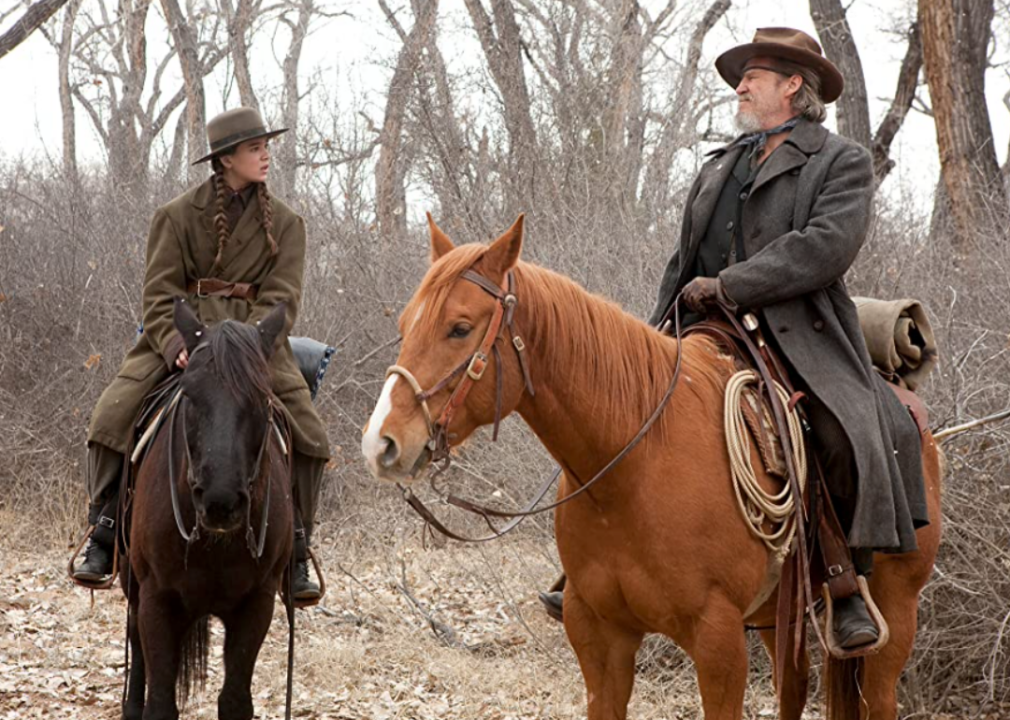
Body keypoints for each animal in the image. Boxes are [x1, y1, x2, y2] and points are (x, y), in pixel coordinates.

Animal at [122, 298, 294, 718]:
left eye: (262, 397)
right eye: (189, 393)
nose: (220, 502)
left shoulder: (256, 604)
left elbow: (234, 700)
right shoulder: (156, 600)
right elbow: (160, 701)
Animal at [365, 218, 945, 718]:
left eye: (460, 328)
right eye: (405, 324)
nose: (382, 443)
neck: (633, 473)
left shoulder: (717, 643)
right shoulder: (599, 637)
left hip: (895, 615)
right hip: (778, 618)